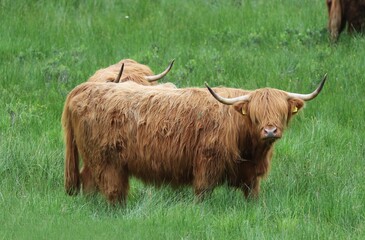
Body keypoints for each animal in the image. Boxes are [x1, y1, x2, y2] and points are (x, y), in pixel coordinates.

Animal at [62, 74, 328, 204]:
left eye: (281, 112)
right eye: (255, 115)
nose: (270, 131)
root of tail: (82, 89)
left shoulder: (251, 174)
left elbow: (252, 195)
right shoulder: (207, 164)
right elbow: (203, 193)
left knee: (89, 181)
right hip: (105, 160)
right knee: (108, 187)